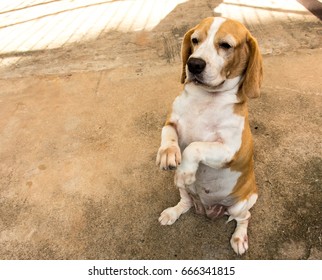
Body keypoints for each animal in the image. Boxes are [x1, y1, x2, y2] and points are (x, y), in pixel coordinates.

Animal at [157, 16, 264, 255]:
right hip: (184, 191)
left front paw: (186, 169)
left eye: (225, 45)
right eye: (195, 40)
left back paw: (239, 237)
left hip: (239, 205)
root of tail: (207, 209)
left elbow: (195, 146)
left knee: (245, 217)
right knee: (185, 202)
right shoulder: (171, 122)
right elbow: (168, 133)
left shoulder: (229, 151)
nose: (194, 64)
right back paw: (173, 212)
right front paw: (168, 152)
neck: (205, 99)